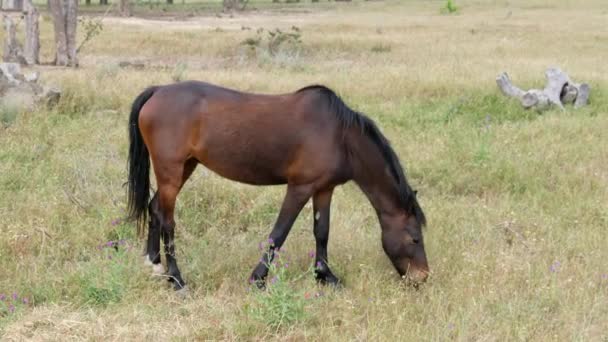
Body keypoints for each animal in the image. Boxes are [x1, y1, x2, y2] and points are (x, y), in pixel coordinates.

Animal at [127, 81, 432, 290]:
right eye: (415, 239)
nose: (422, 277)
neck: (341, 137)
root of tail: (157, 91)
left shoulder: (324, 189)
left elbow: (322, 231)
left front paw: (325, 276)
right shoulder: (299, 187)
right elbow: (279, 233)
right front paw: (257, 279)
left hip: (184, 167)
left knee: (155, 208)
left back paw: (154, 264)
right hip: (171, 170)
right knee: (168, 221)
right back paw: (177, 279)